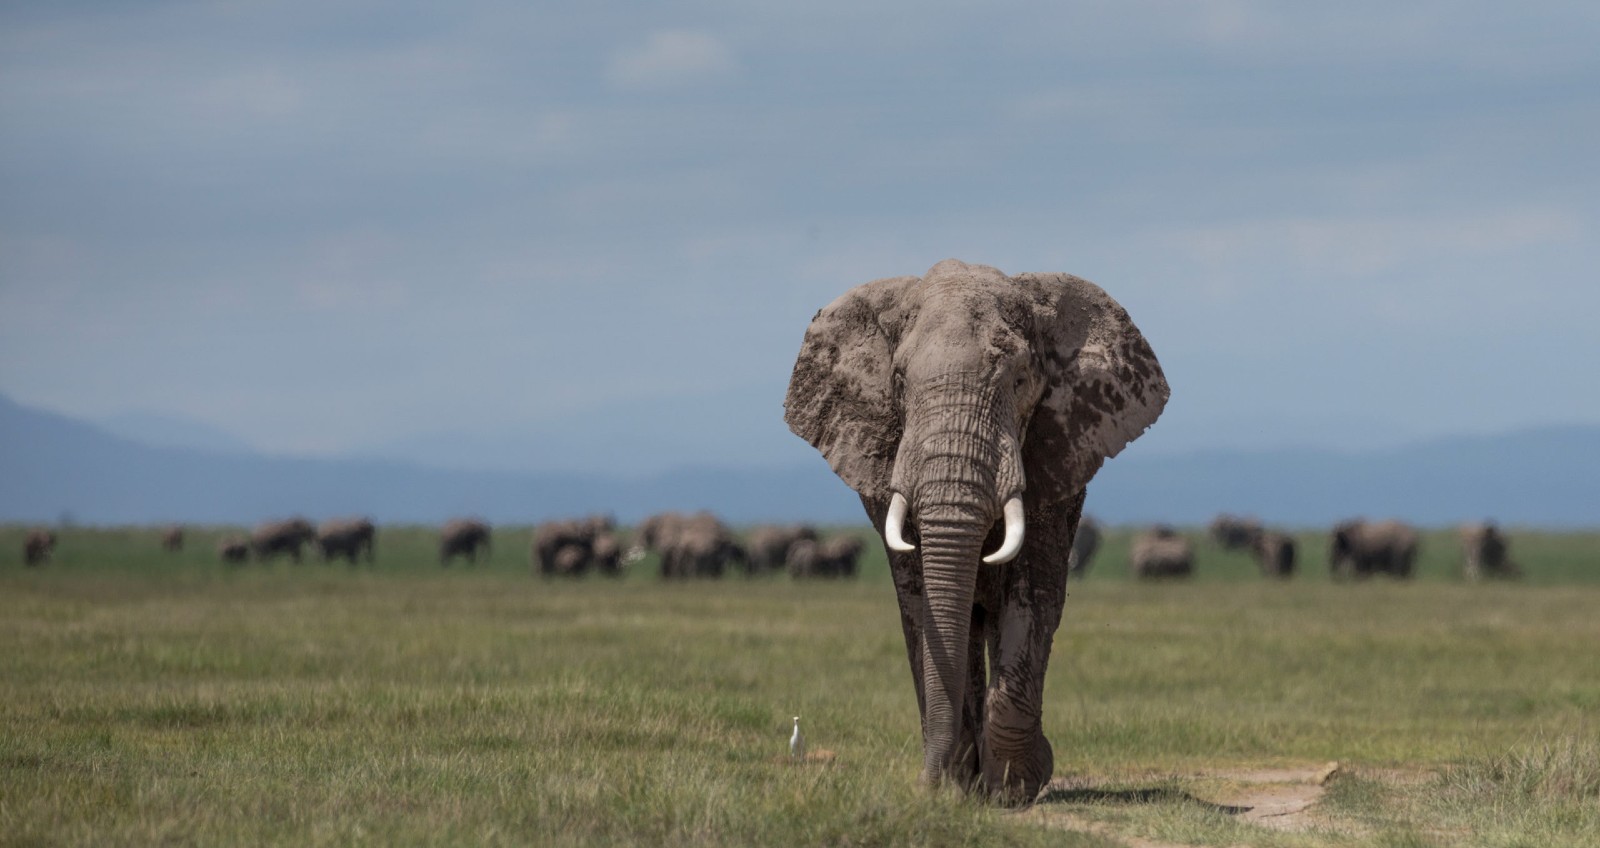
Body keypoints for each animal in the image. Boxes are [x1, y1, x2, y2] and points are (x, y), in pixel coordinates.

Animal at [784, 260, 1164, 803]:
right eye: (897, 381)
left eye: (1022, 379)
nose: (928, 783)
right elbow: (921, 605)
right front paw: (958, 785)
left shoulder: (1056, 455)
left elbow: (1032, 596)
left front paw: (1017, 784)